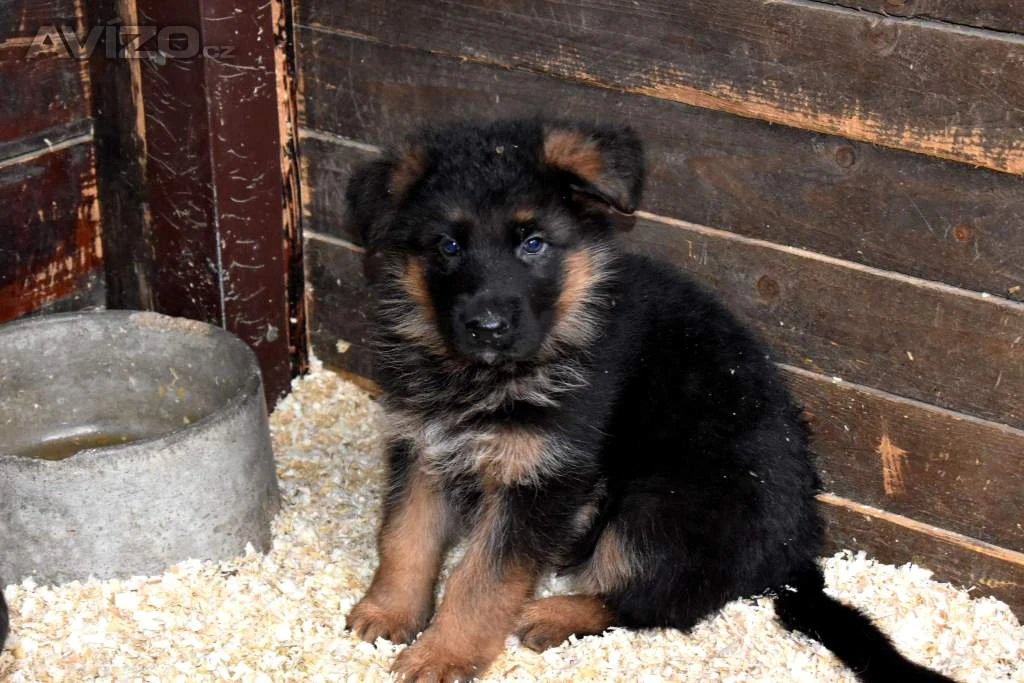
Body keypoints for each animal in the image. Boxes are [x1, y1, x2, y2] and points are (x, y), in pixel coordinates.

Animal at [342, 119, 954, 682]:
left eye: (533, 243)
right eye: (447, 246)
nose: (487, 327)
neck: (483, 376)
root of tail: (795, 553)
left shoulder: (540, 478)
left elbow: (480, 579)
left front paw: (443, 654)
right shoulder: (423, 446)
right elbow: (405, 536)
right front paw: (390, 611)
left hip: (657, 507)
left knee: (659, 603)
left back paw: (556, 614)